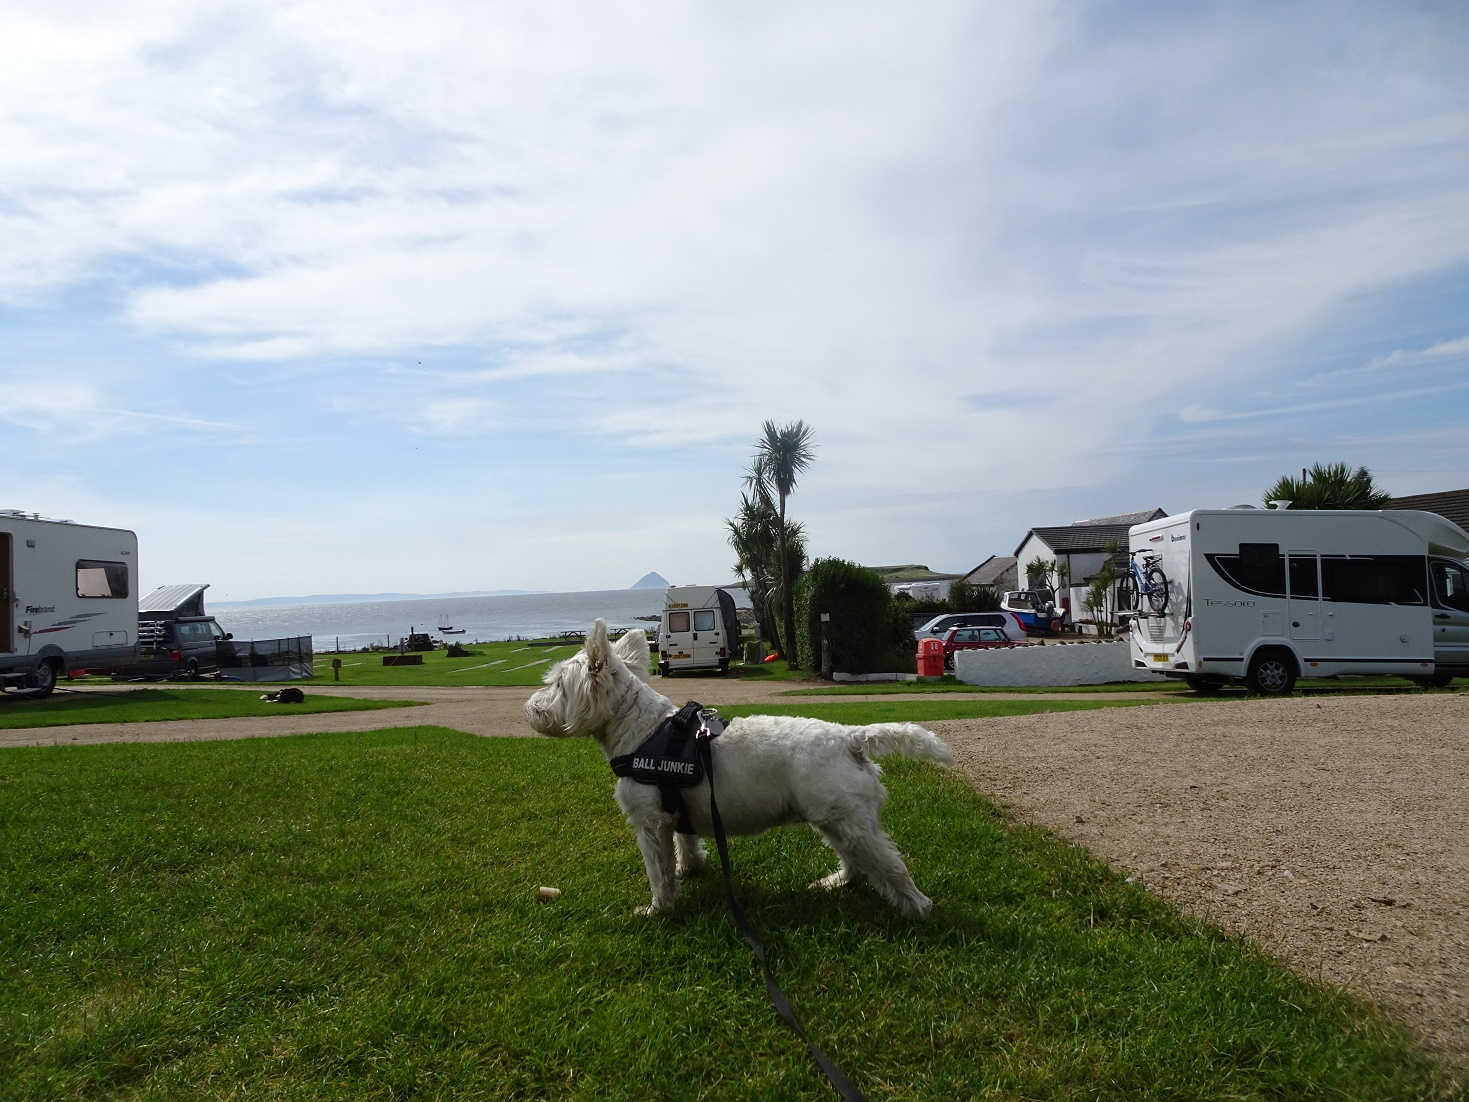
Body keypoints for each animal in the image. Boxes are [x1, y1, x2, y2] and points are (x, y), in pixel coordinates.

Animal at [525, 617, 951, 916]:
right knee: (854, 861)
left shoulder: (648, 820)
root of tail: (851, 738)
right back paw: (834, 882)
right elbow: (685, 846)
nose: (529, 709)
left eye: (559, 684)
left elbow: (657, 870)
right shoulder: (676, 811)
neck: (641, 730)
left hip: (847, 818)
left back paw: (918, 908)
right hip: (835, 817)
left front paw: (657, 909)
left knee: (889, 864)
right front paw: (690, 870)